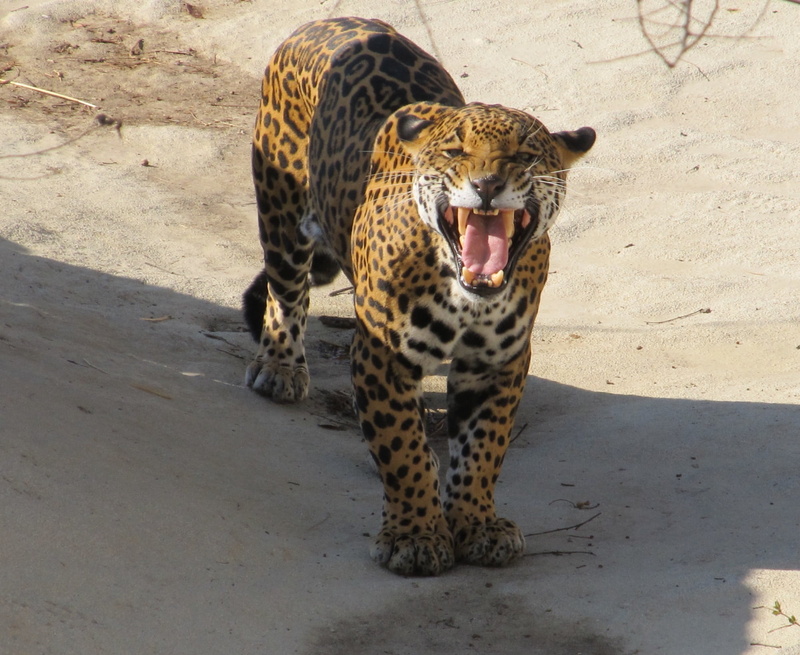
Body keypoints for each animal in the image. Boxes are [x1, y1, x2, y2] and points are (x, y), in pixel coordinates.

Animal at [242, 16, 595, 576]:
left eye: (524, 156)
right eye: (455, 153)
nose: (487, 184)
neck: (465, 292)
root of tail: (322, 22)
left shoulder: (498, 363)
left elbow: (483, 447)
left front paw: (476, 522)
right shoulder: (381, 355)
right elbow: (401, 446)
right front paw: (415, 535)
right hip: (280, 211)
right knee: (286, 290)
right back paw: (279, 366)